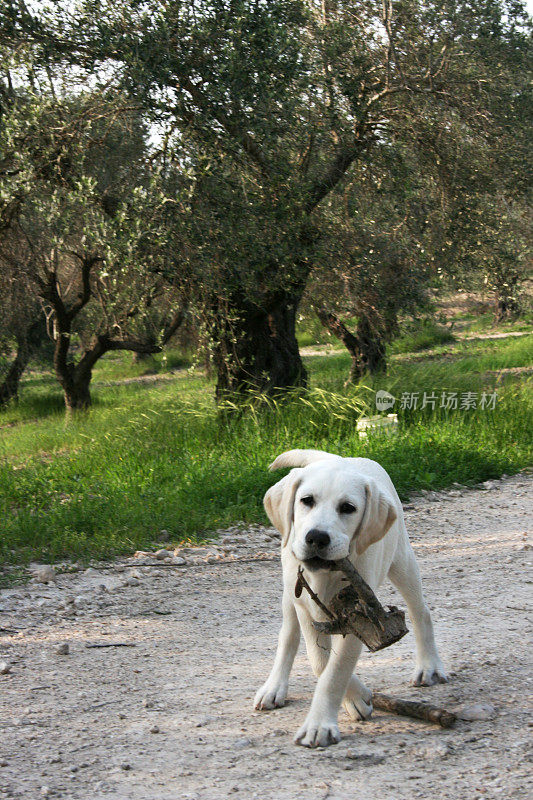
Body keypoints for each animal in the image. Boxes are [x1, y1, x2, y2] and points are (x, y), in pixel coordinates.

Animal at [254, 446, 444, 748]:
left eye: (348, 508)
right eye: (306, 501)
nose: (317, 538)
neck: (327, 574)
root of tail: (338, 457)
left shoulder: (362, 617)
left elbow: (335, 670)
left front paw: (320, 725)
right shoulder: (307, 607)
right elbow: (320, 662)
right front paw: (356, 697)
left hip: (402, 561)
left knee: (420, 612)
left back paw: (429, 667)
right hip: (289, 588)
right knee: (288, 635)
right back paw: (274, 687)